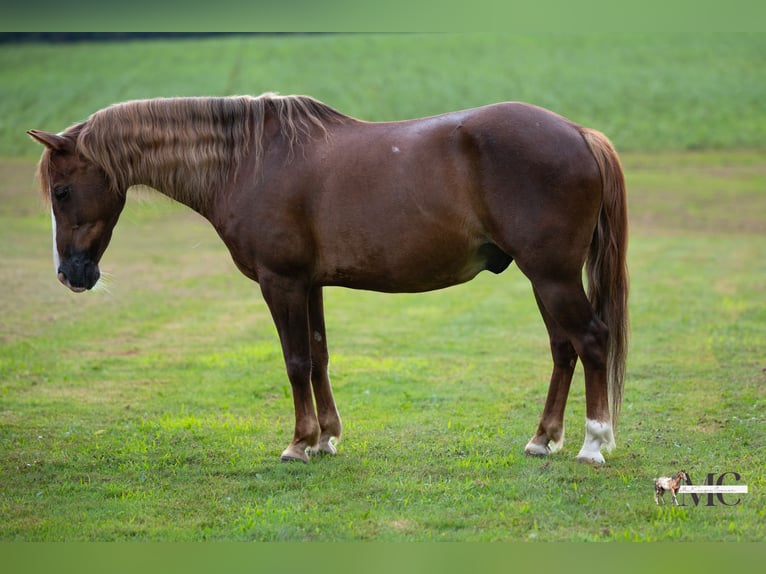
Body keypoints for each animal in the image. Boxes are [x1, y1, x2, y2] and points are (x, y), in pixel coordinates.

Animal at [28, 93, 629, 464]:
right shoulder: (310, 284)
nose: (69, 275)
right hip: (544, 279)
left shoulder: (281, 283)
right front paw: (327, 439)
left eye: (62, 191)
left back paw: (593, 444)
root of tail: (579, 133)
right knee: (564, 349)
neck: (249, 161)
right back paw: (543, 439)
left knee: (592, 340)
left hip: (551, 276)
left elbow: (295, 361)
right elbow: (318, 356)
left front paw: (299, 443)